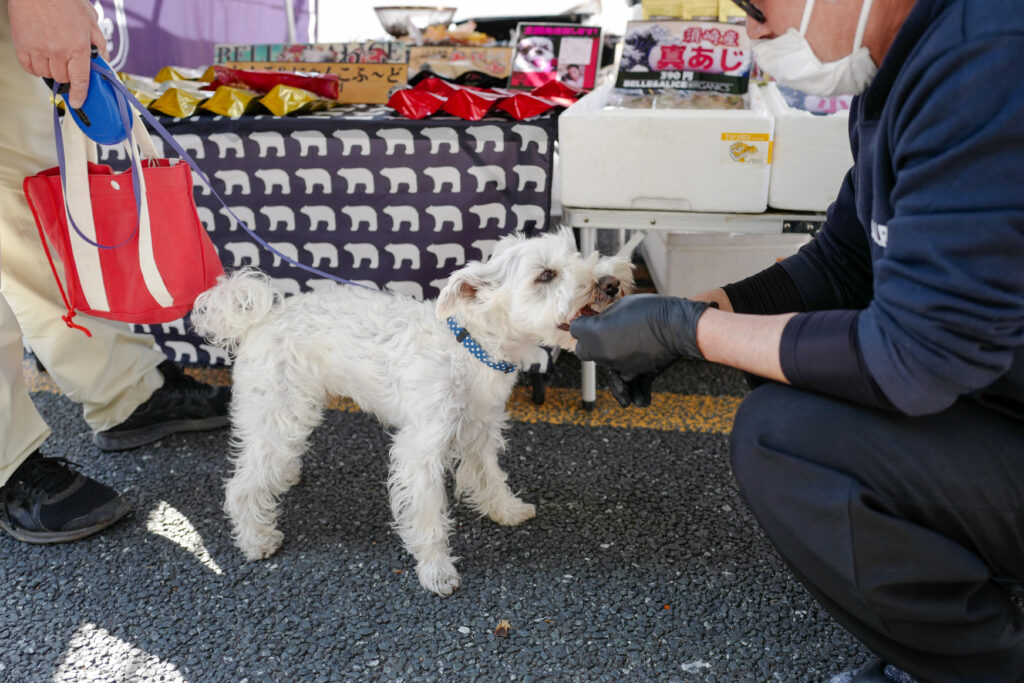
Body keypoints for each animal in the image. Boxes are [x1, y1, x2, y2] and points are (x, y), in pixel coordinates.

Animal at [192, 228, 638, 593]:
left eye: (577, 255)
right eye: (545, 275)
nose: (611, 282)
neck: (471, 346)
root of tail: (261, 318)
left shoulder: (480, 431)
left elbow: (490, 477)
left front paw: (507, 511)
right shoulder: (421, 449)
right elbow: (427, 513)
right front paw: (436, 571)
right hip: (280, 415)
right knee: (241, 484)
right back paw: (256, 539)